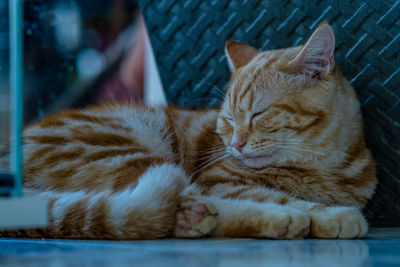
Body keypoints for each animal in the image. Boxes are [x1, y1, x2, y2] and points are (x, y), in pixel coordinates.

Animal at [0, 22, 376, 241]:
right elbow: (273, 195)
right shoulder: (220, 180)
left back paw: (190, 220)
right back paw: (278, 219)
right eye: (228, 119)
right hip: (125, 150)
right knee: (198, 202)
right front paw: (329, 214)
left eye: (259, 114)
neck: (323, 166)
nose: (236, 145)